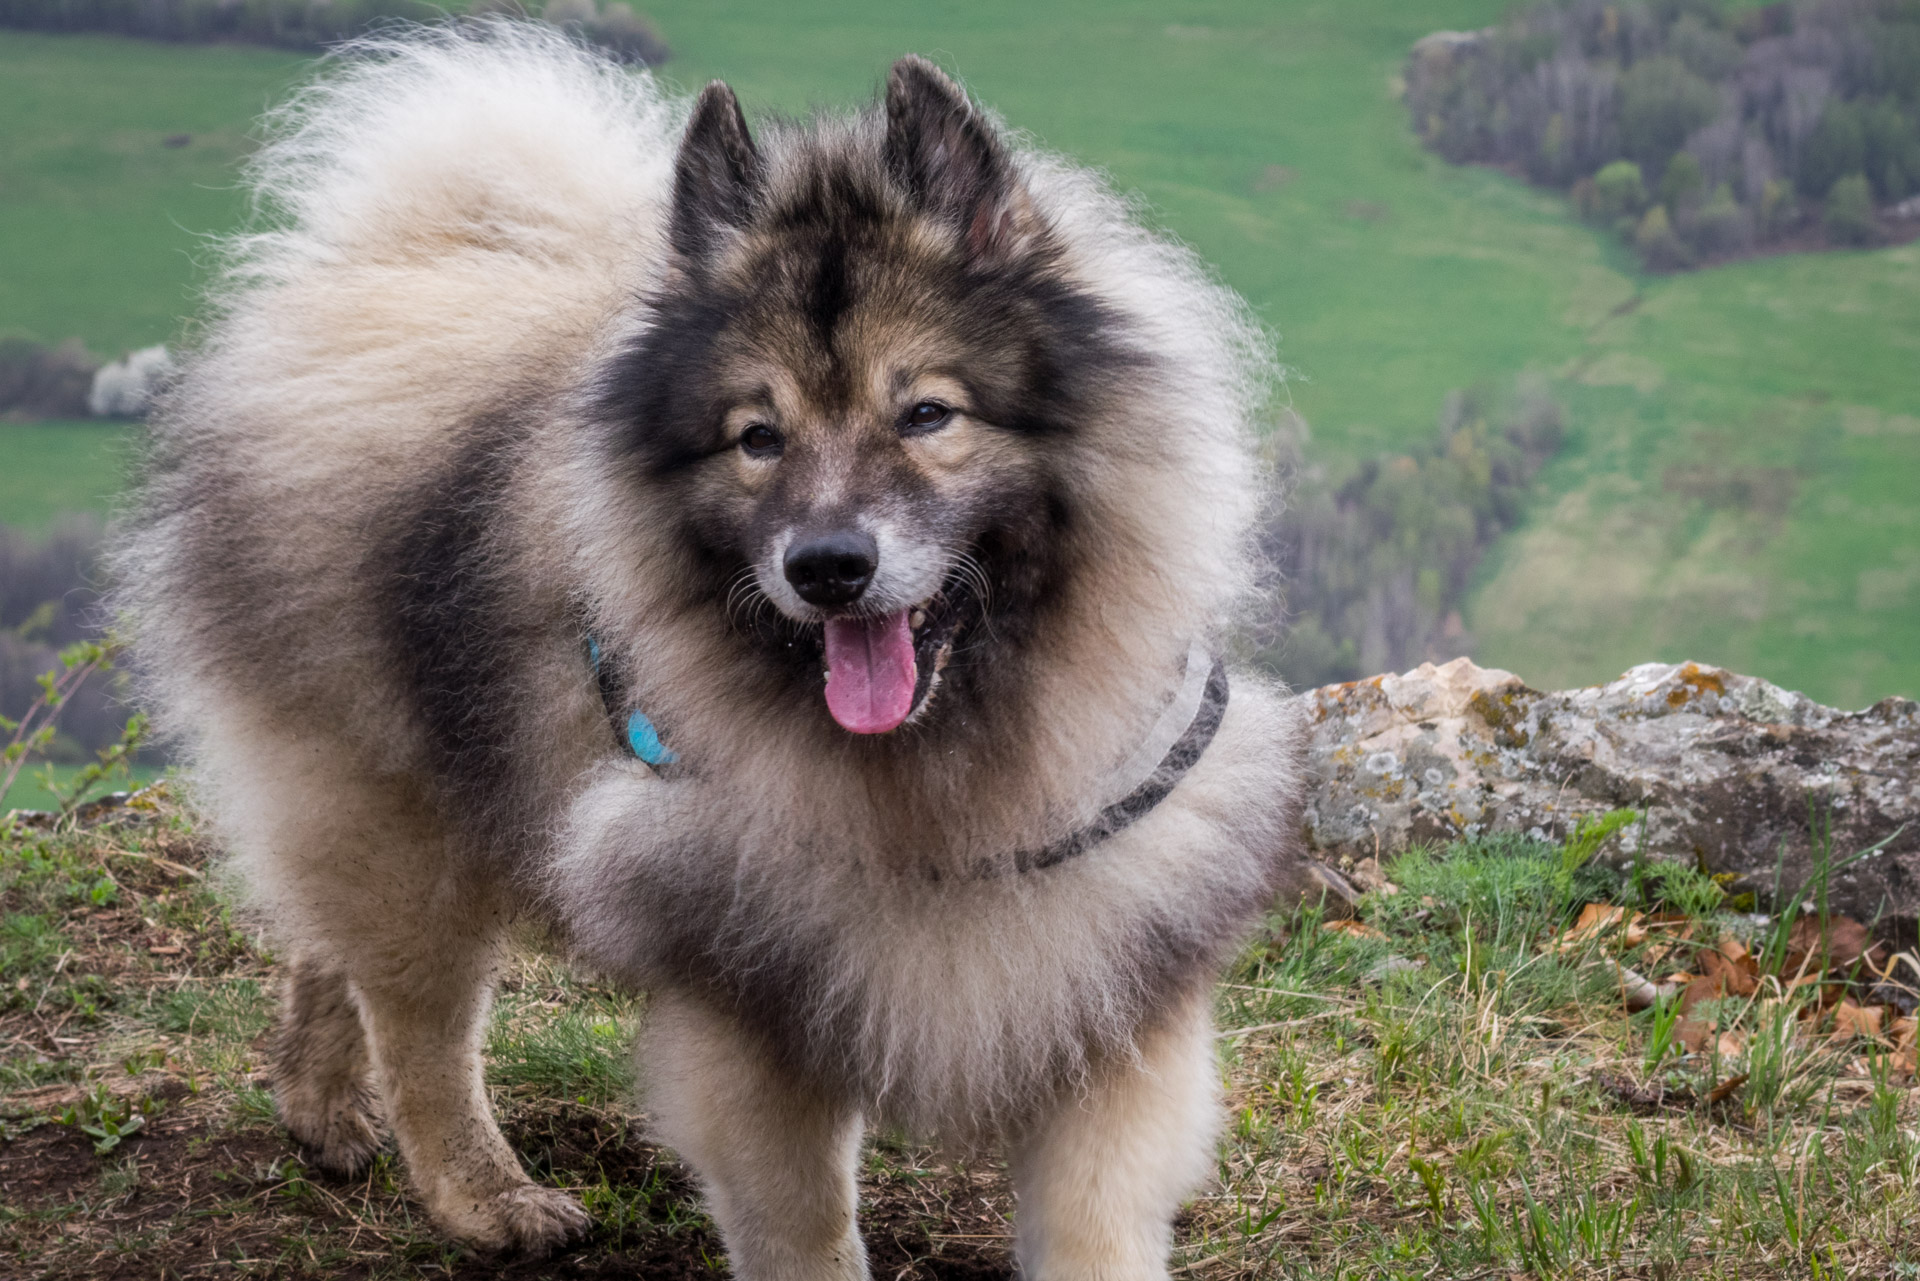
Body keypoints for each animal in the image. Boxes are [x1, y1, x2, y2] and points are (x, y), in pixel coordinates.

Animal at [116, 25, 1305, 1275]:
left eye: (927, 414)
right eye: (756, 438)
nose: (826, 565)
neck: (942, 779)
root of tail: (393, 267)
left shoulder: (1115, 983)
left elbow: (1094, 1224)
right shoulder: (740, 996)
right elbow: (803, 1224)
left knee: (327, 949)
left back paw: (321, 1103)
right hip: (398, 806)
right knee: (420, 1019)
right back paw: (485, 1195)